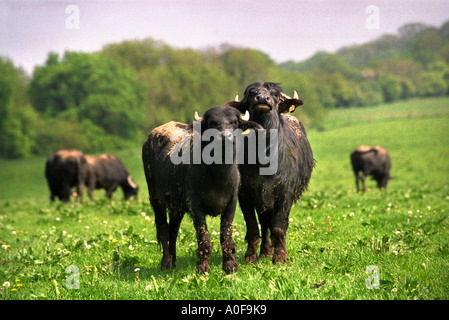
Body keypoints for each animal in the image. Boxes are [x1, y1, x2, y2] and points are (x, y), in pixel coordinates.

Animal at [142, 107, 260, 272]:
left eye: (234, 122)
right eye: (213, 122)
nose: (225, 137)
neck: (217, 176)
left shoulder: (231, 204)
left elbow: (226, 236)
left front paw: (229, 265)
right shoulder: (195, 206)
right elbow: (204, 238)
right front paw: (202, 267)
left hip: (176, 207)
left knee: (173, 231)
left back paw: (174, 262)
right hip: (156, 200)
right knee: (164, 230)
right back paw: (166, 262)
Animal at [224, 81, 316, 264]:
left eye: (274, 94)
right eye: (252, 93)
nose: (262, 98)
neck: (264, 156)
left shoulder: (285, 194)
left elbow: (279, 227)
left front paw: (280, 257)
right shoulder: (246, 195)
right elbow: (253, 227)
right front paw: (250, 257)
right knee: (265, 223)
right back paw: (265, 251)